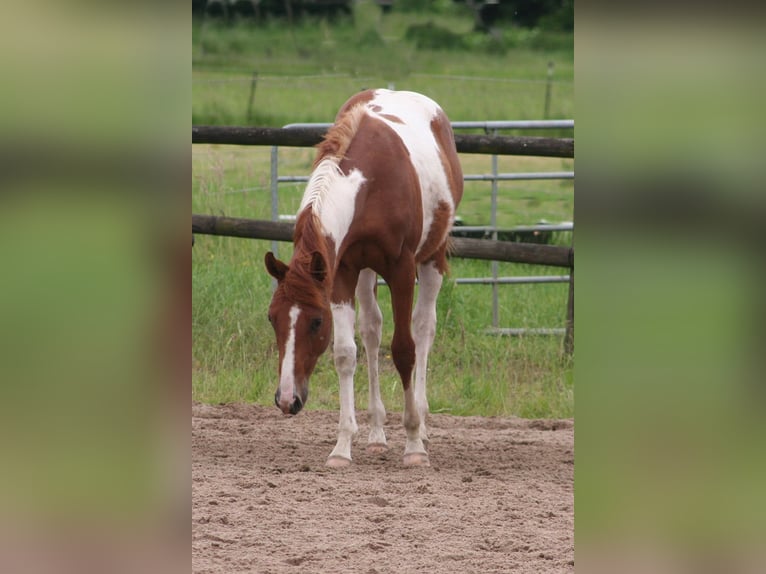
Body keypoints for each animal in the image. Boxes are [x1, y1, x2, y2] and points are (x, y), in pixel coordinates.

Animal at [268, 90, 464, 468]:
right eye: (273, 318)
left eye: (316, 322)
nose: (287, 399)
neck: (371, 185)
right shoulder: (341, 271)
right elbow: (346, 353)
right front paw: (342, 446)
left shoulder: (402, 269)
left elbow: (404, 349)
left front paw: (413, 443)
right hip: (366, 272)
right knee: (372, 329)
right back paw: (376, 434)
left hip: (431, 257)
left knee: (424, 327)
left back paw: (421, 423)